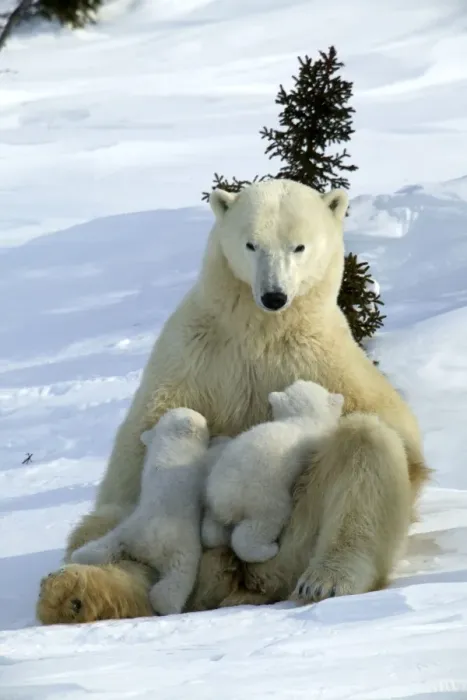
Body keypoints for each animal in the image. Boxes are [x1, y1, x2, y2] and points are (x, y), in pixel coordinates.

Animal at [70, 407, 211, 616]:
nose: (206, 420)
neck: (174, 438)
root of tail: (148, 548)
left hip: (129, 530)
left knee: (106, 545)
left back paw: (82, 554)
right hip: (183, 548)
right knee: (176, 580)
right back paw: (167, 605)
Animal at [203, 379, 344, 563]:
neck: (303, 419)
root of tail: (224, 500)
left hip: (214, 494)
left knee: (211, 530)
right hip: (263, 496)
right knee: (260, 525)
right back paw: (267, 549)